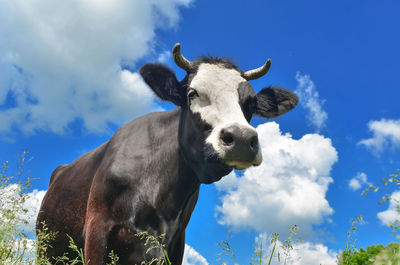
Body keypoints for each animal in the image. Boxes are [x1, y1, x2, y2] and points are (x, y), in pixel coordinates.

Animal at [36, 43, 298, 264]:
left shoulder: (175, 242)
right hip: (45, 247)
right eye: (192, 93)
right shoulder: (96, 230)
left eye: (251, 103)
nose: (242, 139)